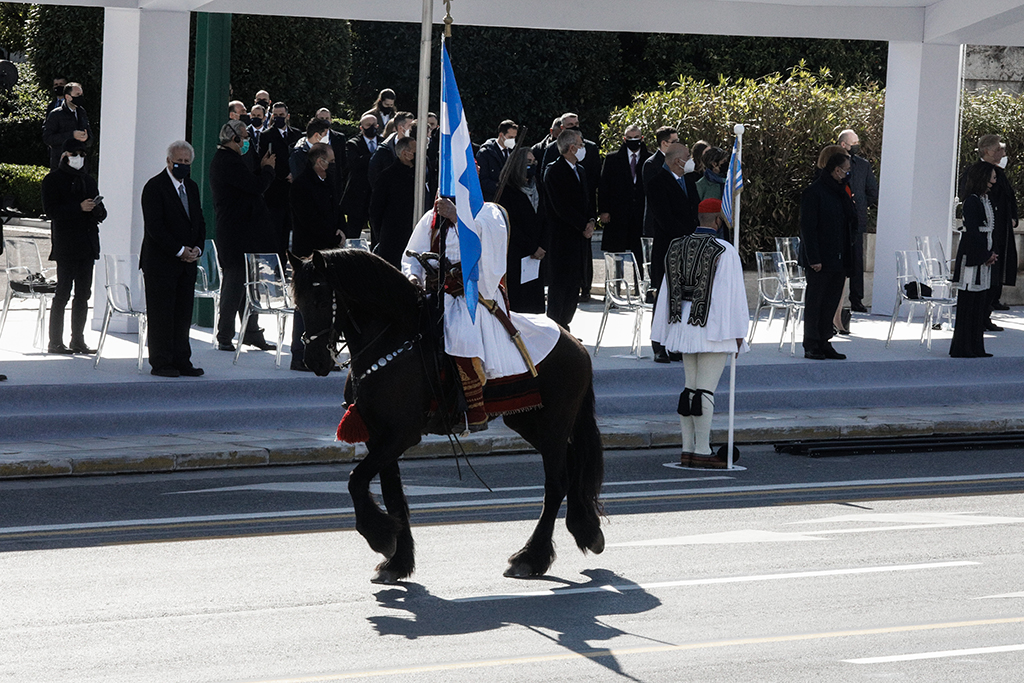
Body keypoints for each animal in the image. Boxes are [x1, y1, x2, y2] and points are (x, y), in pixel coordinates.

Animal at [288, 248, 602, 585]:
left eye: (321, 299)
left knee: (556, 482)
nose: (314, 360)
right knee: (572, 464)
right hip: (530, 421)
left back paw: (530, 557)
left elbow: (356, 480)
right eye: (298, 302)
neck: (391, 343)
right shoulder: (377, 435)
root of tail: (575, 343)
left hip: (553, 423)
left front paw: (380, 536)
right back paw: (585, 529)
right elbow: (391, 492)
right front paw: (398, 560)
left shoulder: (401, 434)